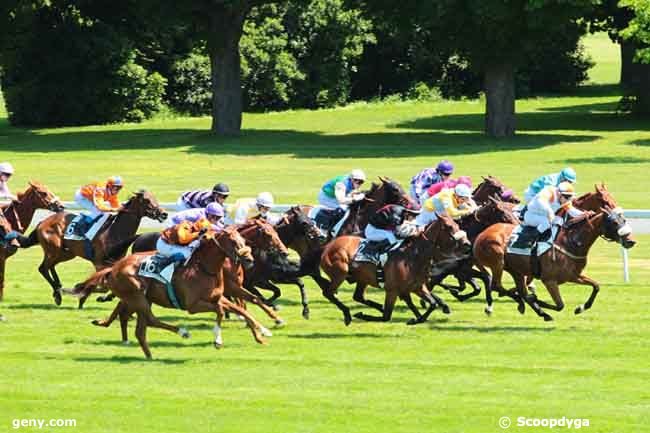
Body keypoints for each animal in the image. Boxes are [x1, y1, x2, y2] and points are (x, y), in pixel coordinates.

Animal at [23, 190, 167, 308]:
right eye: (147, 200)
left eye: (154, 197)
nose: (164, 214)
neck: (115, 231)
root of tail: (42, 222)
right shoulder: (98, 263)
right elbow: (100, 284)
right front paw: (83, 294)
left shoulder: (113, 262)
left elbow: (104, 284)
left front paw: (87, 295)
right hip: (54, 250)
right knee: (43, 268)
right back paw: (58, 293)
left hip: (66, 253)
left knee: (50, 266)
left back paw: (58, 287)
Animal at [62, 226, 262, 358]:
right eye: (234, 242)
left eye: (244, 241)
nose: (250, 260)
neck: (205, 267)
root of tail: (114, 268)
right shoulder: (193, 305)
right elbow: (221, 311)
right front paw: (218, 341)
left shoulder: (217, 298)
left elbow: (239, 309)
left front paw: (261, 333)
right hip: (137, 296)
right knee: (150, 320)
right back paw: (182, 332)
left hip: (141, 298)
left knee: (140, 329)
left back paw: (149, 355)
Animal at [316, 214, 468, 326]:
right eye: (449, 227)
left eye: (458, 225)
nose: (467, 244)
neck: (413, 256)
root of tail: (329, 245)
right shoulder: (393, 290)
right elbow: (386, 317)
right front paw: (362, 314)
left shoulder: (417, 287)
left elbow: (432, 304)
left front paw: (416, 319)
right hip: (340, 273)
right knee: (328, 293)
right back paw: (348, 314)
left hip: (362, 278)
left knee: (358, 296)